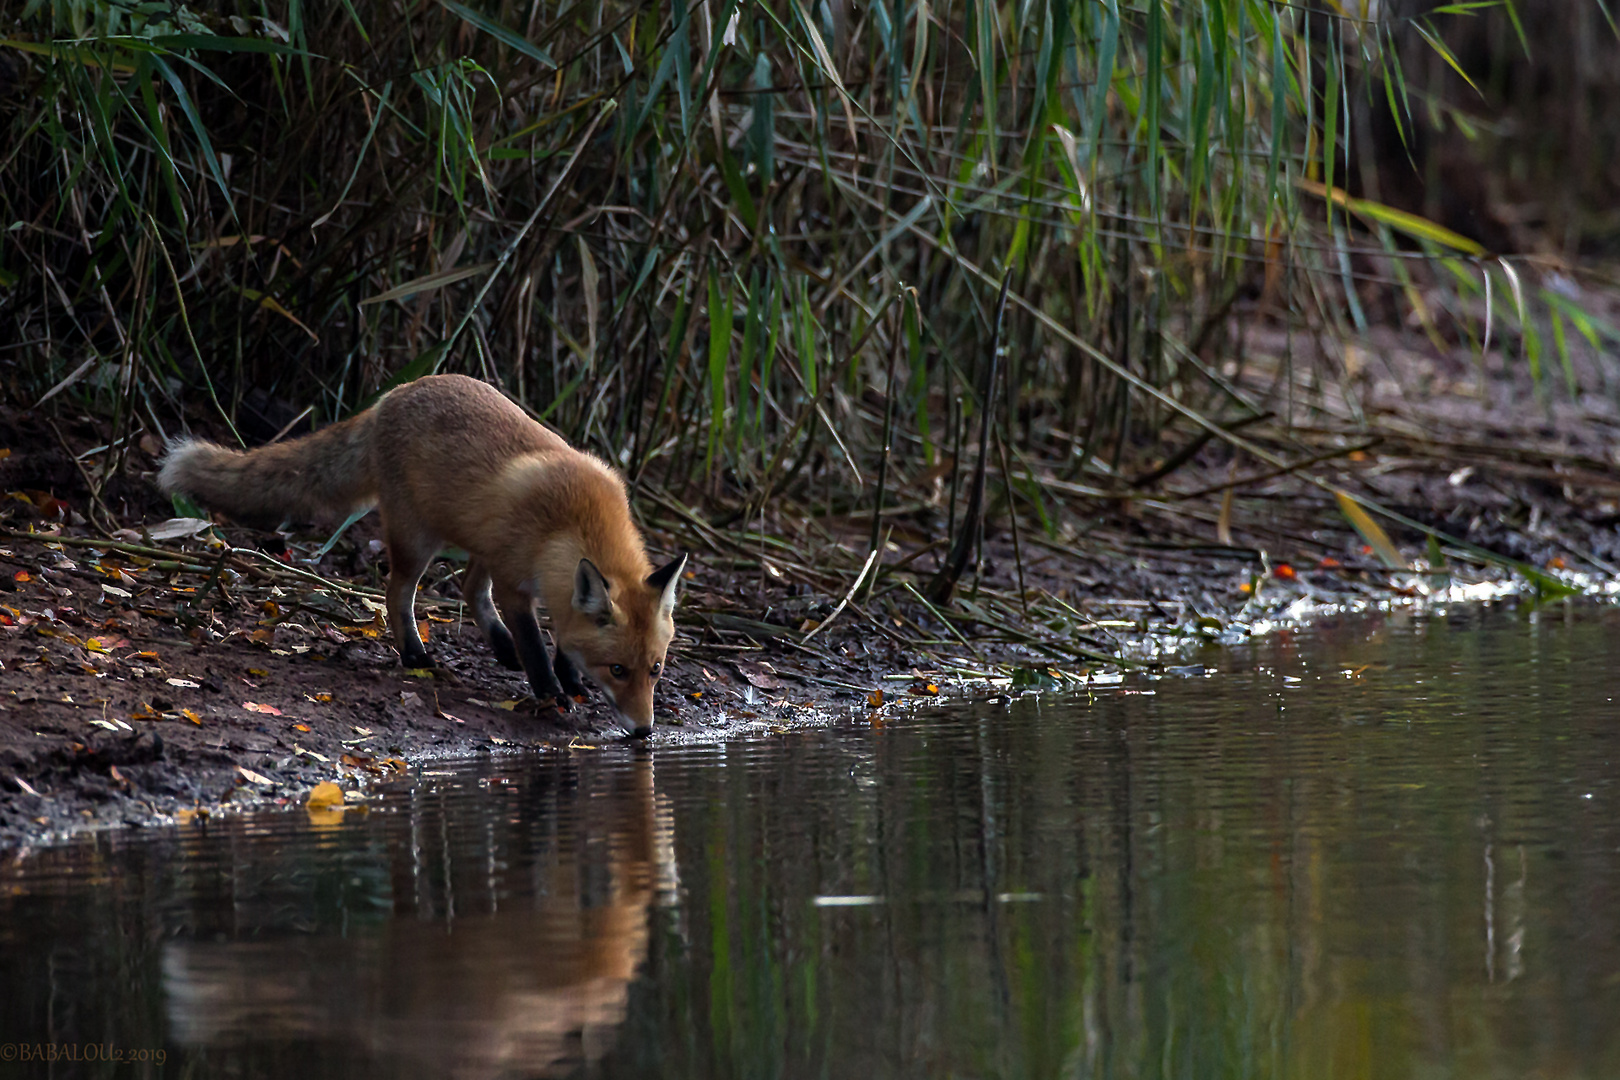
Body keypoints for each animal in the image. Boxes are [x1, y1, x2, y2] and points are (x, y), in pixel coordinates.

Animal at [154, 375, 680, 738]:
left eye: (655, 670)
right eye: (618, 671)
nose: (644, 731)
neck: (573, 522)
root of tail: (392, 395)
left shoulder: (543, 583)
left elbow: (565, 638)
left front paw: (569, 678)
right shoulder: (516, 585)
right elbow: (536, 645)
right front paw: (551, 693)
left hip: (478, 537)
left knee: (468, 588)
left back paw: (498, 647)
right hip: (417, 540)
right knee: (397, 593)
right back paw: (414, 654)